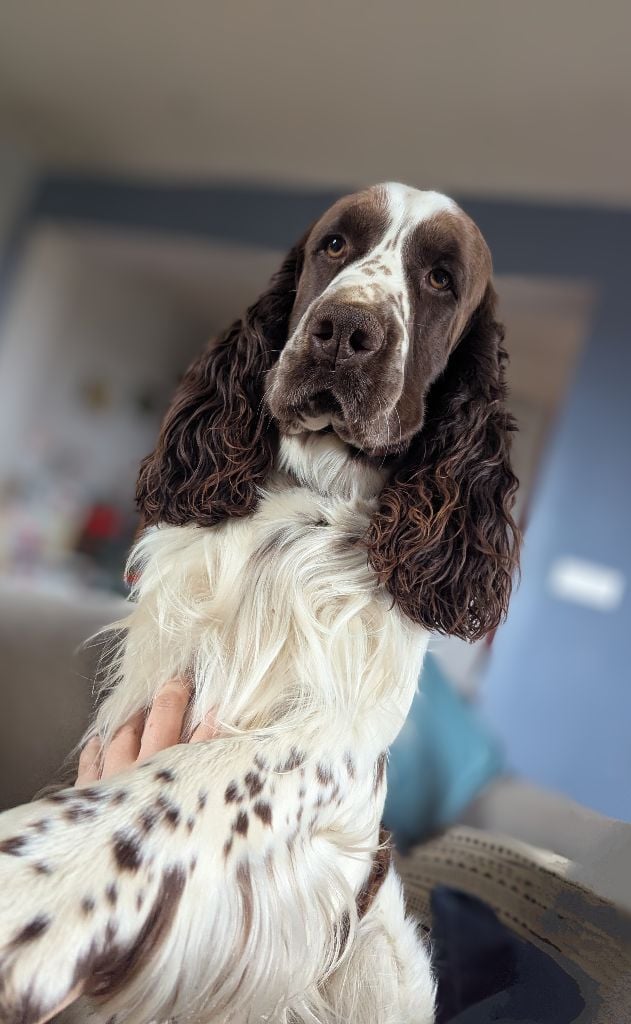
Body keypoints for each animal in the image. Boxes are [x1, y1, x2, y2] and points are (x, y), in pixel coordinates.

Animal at [0, 182, 519, 1024]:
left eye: (440, 278)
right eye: (334, 245)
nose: (345, 330)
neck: (308, 503)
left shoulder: (341, 749)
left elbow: (197, 777)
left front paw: (38, 875)